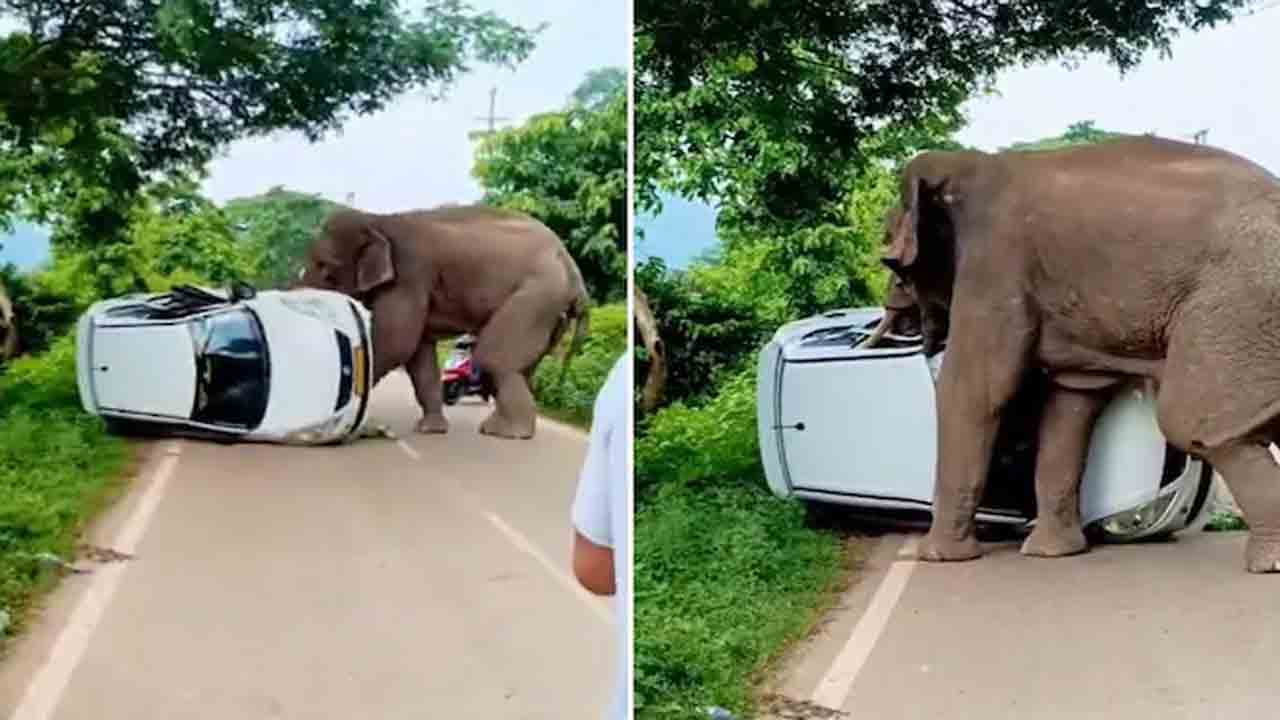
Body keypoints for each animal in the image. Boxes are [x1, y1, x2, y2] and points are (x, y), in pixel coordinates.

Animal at [298, 204, 590, 439]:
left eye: (325, 268)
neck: (379, 221)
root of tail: (575, 275)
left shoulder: (410, 277)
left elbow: (396, 342)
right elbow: (418, 355)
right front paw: (430, 429)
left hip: (538, 295)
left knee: (493, 358)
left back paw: (504, 433)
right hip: (551, 313)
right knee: (523, 368)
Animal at [881, 135, 1280, 573]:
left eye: (893, 260)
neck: (966, 165)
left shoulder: (995, 267)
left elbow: (975, 391)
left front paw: (939, 558)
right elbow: (1072, 401)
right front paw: (1051, 553)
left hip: (1237, 308)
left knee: (1189, 421)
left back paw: (1268, 563)